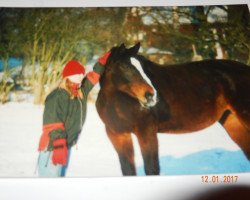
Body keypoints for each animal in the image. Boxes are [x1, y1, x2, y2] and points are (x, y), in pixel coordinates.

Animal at [95, 42, 250, 175]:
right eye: (125, 67)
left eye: (142, 68)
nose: (151, 95)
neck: (118, 104)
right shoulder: (118, 135)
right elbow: (128, 170)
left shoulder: (146, 132)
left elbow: (151, 168)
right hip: (232, 122)